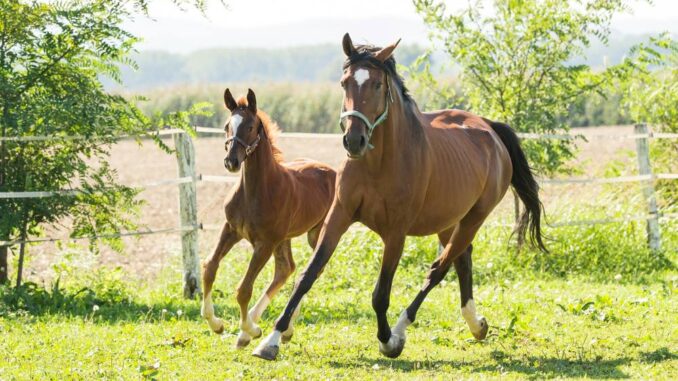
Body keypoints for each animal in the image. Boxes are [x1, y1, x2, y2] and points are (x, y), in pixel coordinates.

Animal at [203, 88, 338, 348]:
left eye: (250, 126)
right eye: (226, 126)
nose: (231, 162)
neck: (256, 190)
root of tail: (335, 172)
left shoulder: (264, 243)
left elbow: (244, 289)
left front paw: (251, 330)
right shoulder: (230, 229)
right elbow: (210, 267)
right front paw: (217, 324)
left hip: (315, 234)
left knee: (311, 271)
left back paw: (279, 329)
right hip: (284, 238)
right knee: (286, 269)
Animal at [254, 35, 548, 360]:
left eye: (377, 85)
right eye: (345, 83)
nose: (354, 141)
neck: (377, 164)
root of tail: (490, 130)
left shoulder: (395, 232)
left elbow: (380, 294)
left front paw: (388, 341)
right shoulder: (339, 215)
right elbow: (308, 274)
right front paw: (272, 339)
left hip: (473, 219)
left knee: (439, 269)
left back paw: (403, 329)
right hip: (448, 220)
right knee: (462, 261)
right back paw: (477, 324)